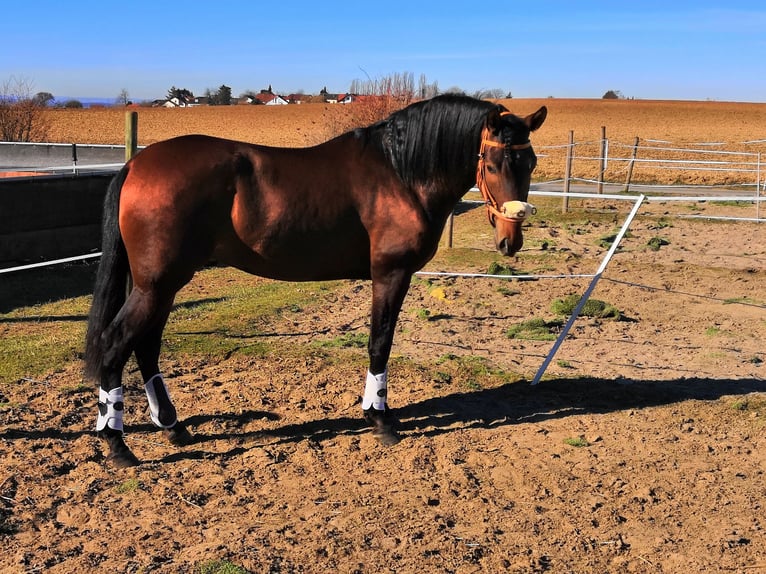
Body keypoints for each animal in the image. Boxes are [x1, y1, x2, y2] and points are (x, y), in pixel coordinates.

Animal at [84, 94, 544, 468]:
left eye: (531, 163)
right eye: (491, 163)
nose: (511, 239)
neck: (400, 173)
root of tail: (136, 164)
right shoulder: (390, 274)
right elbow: (380, 342)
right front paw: (380, 419)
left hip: (161, 286)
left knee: (145, 347)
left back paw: (173, 427)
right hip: (157, 285)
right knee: (116, 344)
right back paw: (118, 445)